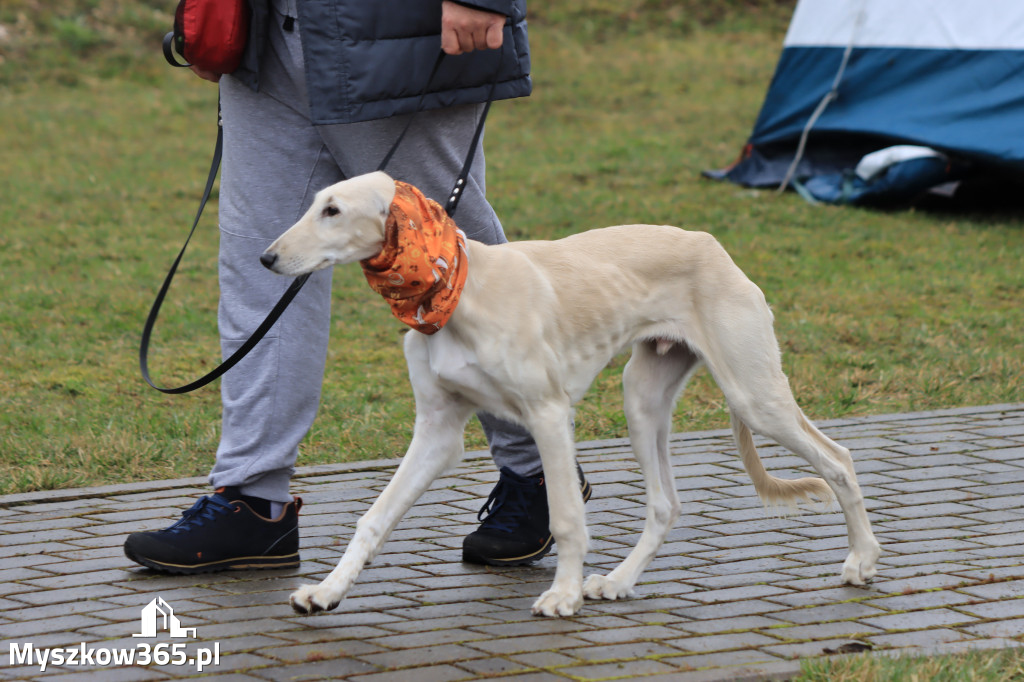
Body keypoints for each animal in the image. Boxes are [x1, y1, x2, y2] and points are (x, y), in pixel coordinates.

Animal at [260, 171, 876, 614]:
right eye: (315, 204)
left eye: (333, 211)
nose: (267, 258)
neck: (459, 287)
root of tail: (711, 245)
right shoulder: (437, 432)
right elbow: (374, 517)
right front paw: (327, 591)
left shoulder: (548, 415)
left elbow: (565, 518)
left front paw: (562, 595)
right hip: (642, 399)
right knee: (666, 504)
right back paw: (620, 581)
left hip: (755, 396)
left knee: (840, 459)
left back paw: (863, 560)